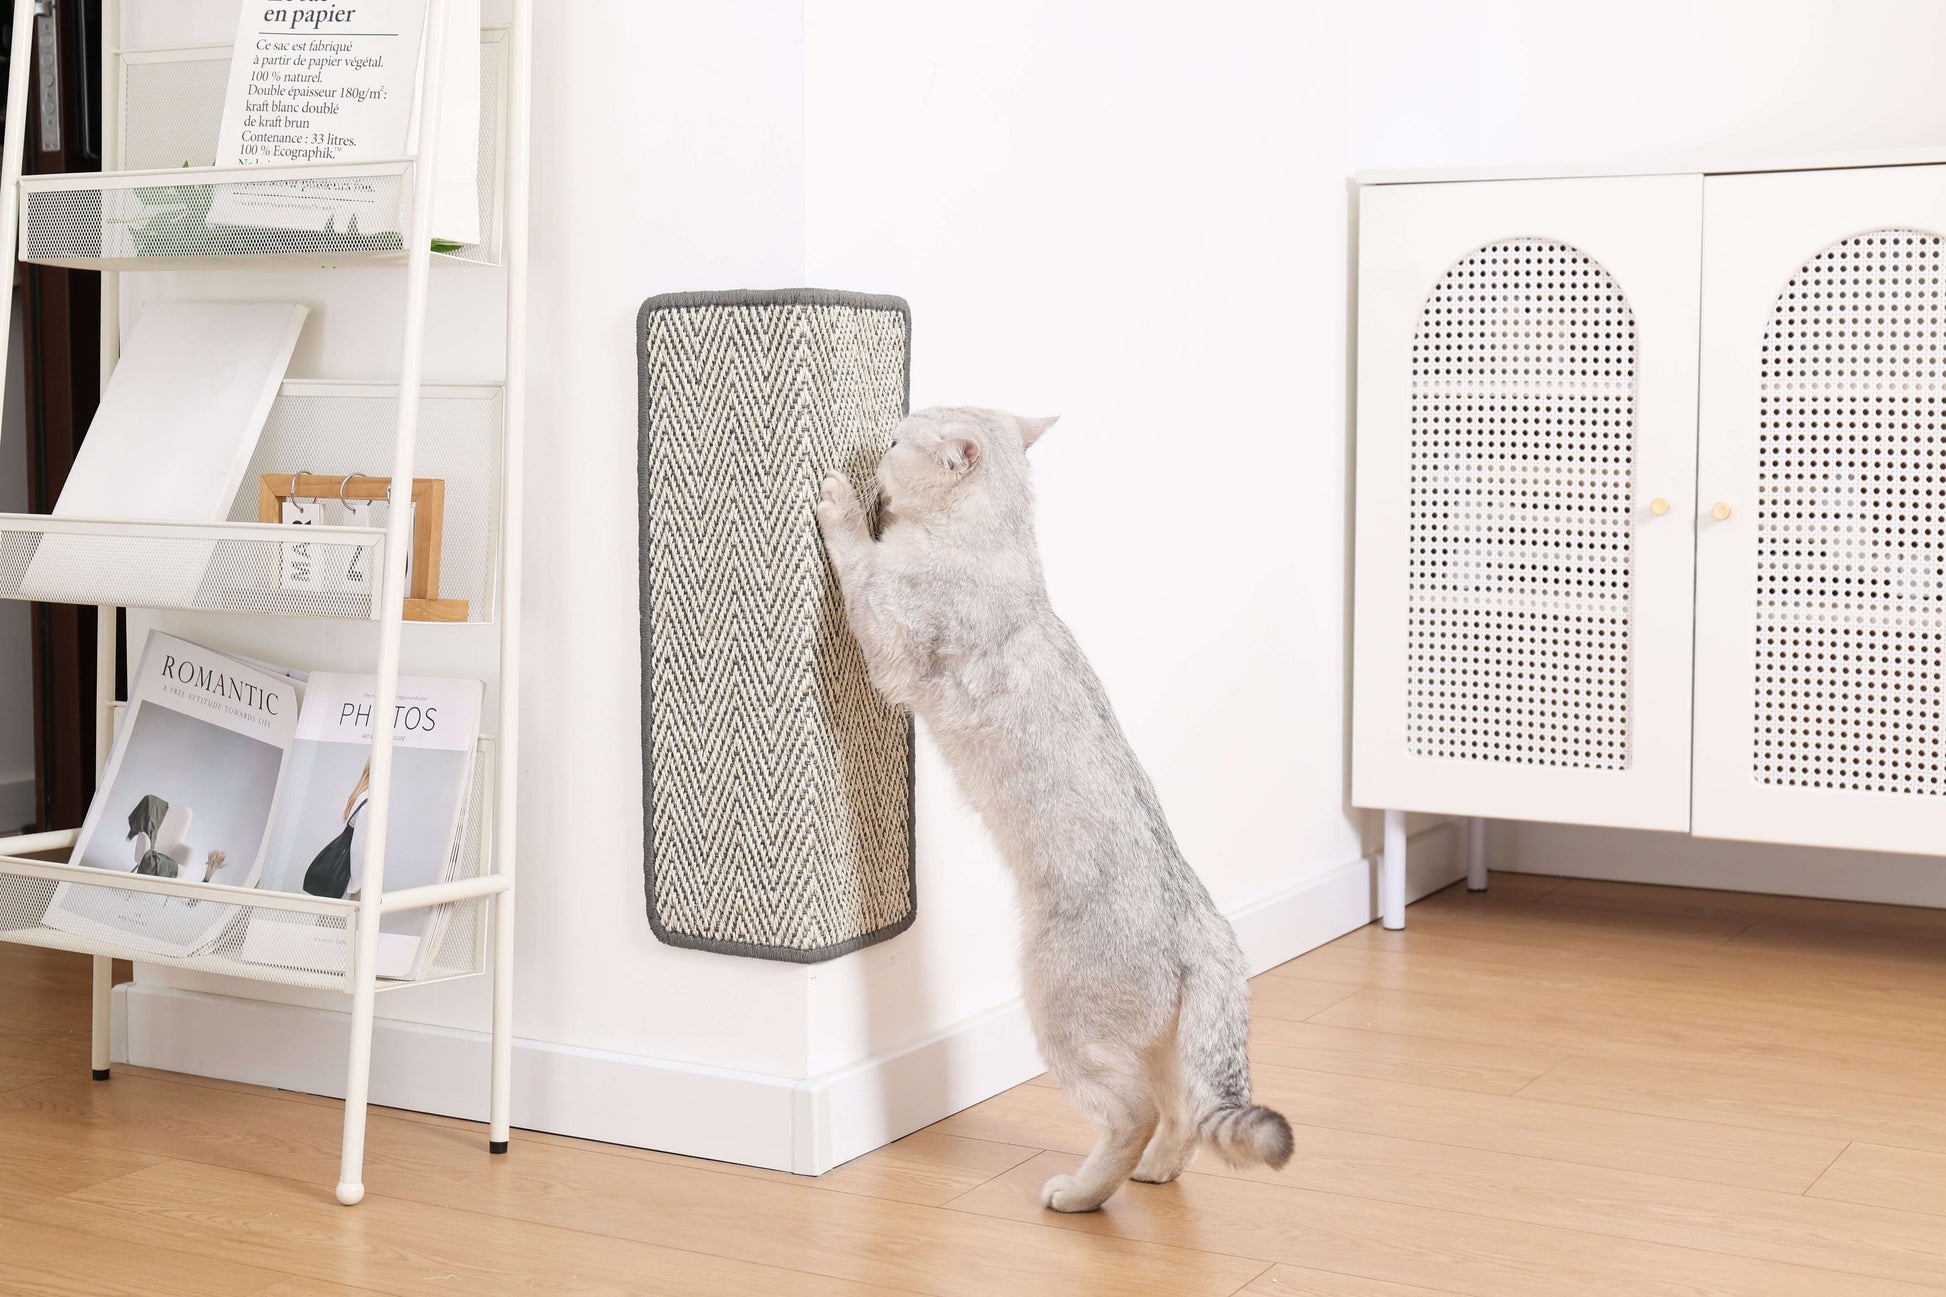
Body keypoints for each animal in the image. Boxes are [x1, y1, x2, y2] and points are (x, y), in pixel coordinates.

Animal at [809, 405, 1292, 1215]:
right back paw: (1157, 1171)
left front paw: (841, 500)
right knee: (1181, 1111)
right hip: (1161, 1043)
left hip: (1058, 1004)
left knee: (1134, 1112)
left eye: (904, 436)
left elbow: (857, 560)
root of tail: (1208, 933)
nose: (883, 435)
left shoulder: (892, 633)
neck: (999, 546)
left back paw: (1083, 1193)